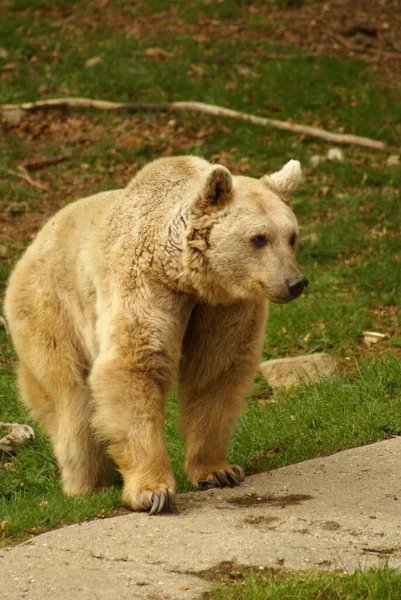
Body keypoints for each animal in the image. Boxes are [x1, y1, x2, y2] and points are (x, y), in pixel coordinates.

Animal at [3, 156, 306, 516]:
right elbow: (135, 365)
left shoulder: (223, 307)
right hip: (51, 311)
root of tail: (29, 248)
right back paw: (87, 484)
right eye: (259, 238)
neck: (186, 277)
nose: (295, 282)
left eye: (291, 236)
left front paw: (219, 470)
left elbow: (217, 369)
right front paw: (153, 492)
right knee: (71, 401)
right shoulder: (144, 282)